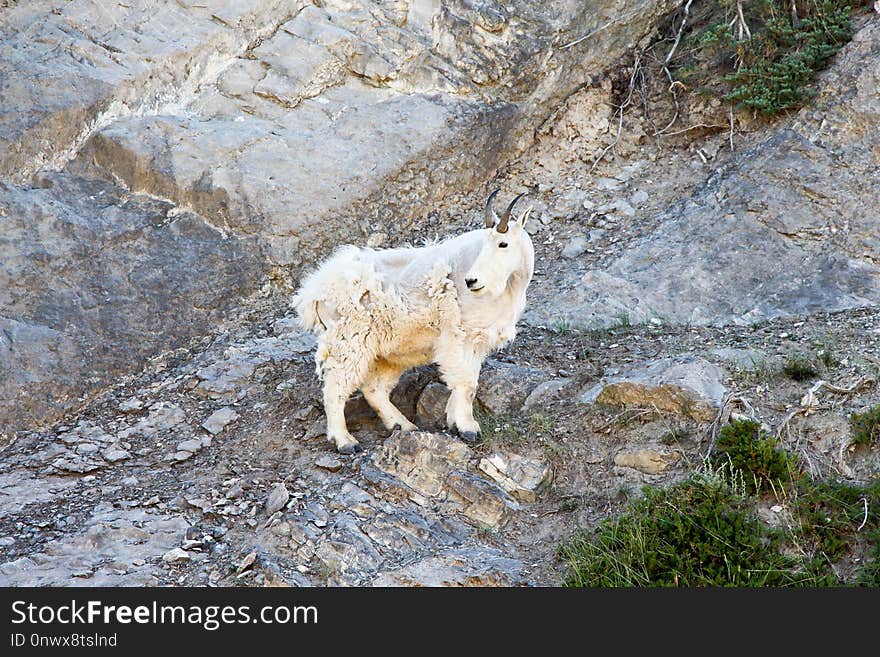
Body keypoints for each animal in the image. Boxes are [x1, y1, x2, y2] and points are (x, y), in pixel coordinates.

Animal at [294, 192, 536, 454]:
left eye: (503, 244)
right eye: (485, 245)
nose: (472, 281)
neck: (509, 287)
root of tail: (314, 292)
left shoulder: (478, 340)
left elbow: (469, 381)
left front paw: (455, 422)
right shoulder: (458, 335)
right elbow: (465, 382)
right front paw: (468, 429)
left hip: (385, 351)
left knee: (374, 389)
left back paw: (402, 425)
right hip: (348, 340)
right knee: (336, 387)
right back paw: (345, 441)